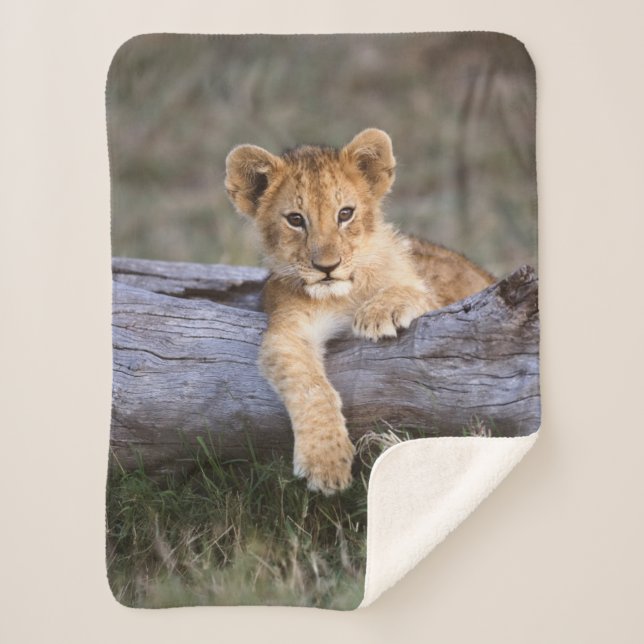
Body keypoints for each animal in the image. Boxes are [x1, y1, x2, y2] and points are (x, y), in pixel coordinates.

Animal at [225, 129, 494, 495]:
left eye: (345, 214)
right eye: (295, 220)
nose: (327, 267)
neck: (343, 295)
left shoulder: (440, 302)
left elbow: (414, 290)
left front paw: (379, 312)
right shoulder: (287, 330)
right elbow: (311, 387)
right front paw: (325, 462)